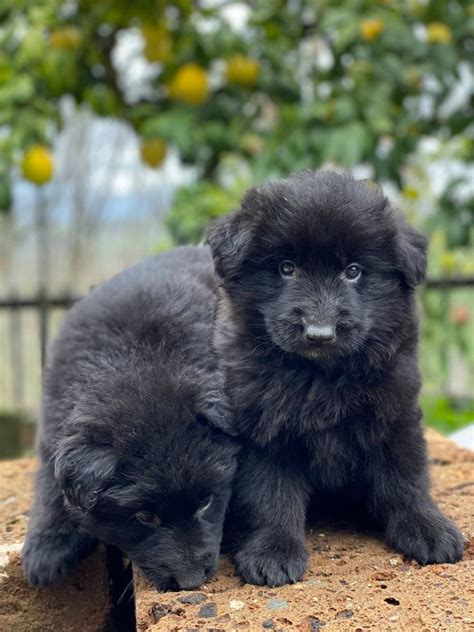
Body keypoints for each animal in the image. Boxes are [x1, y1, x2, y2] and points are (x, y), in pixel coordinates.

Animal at [22, 246, 239, 592]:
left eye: (206, 502)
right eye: (145, 517)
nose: (190, 581)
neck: (136, 356)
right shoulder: (52, 426)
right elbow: (49, 484)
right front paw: (47, 550)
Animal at [209, 169, 464, 588]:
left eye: (353, 271)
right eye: (286, 268)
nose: (319, 333)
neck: (322, 377)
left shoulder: (395, 413)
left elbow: (407, 477)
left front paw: (427, 529)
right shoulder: (264, 429)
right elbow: (269, 495)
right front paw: (273, 551)